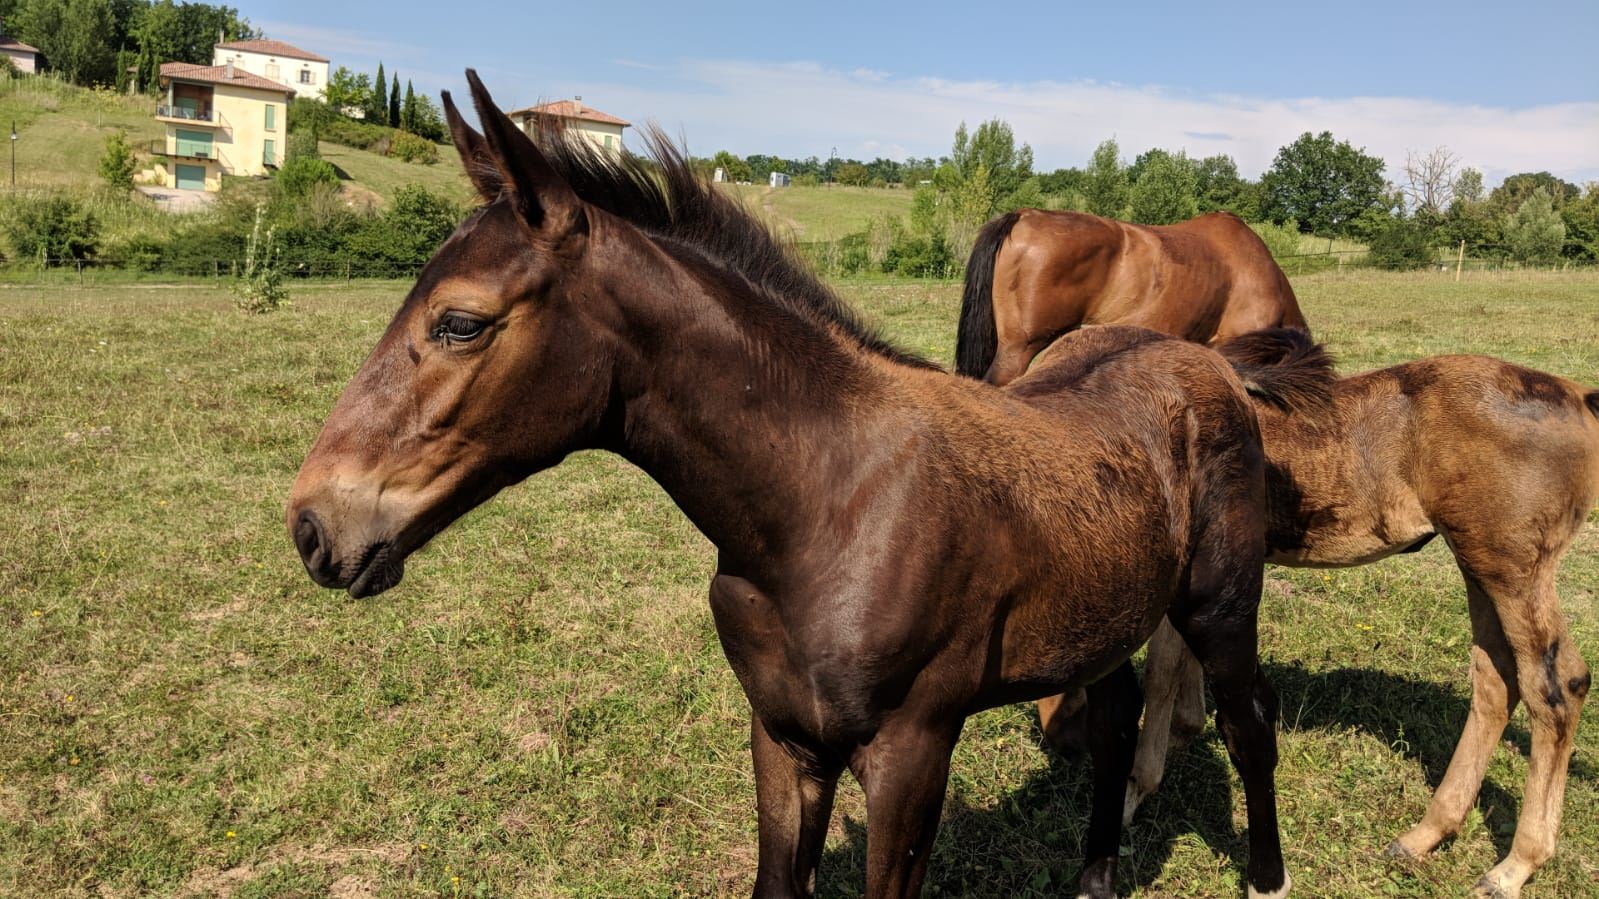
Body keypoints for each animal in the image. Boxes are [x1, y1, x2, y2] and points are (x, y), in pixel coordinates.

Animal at [1029, 331, 1592, 895]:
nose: (1065, 745)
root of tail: (1579, 396)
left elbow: (1160, 677)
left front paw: (1130, 794)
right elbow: (1171, 674)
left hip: (1512, 573)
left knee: (1557, 688)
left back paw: (1514, 866)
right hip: (1478, 566)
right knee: (1496, 682)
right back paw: (1426, 834)